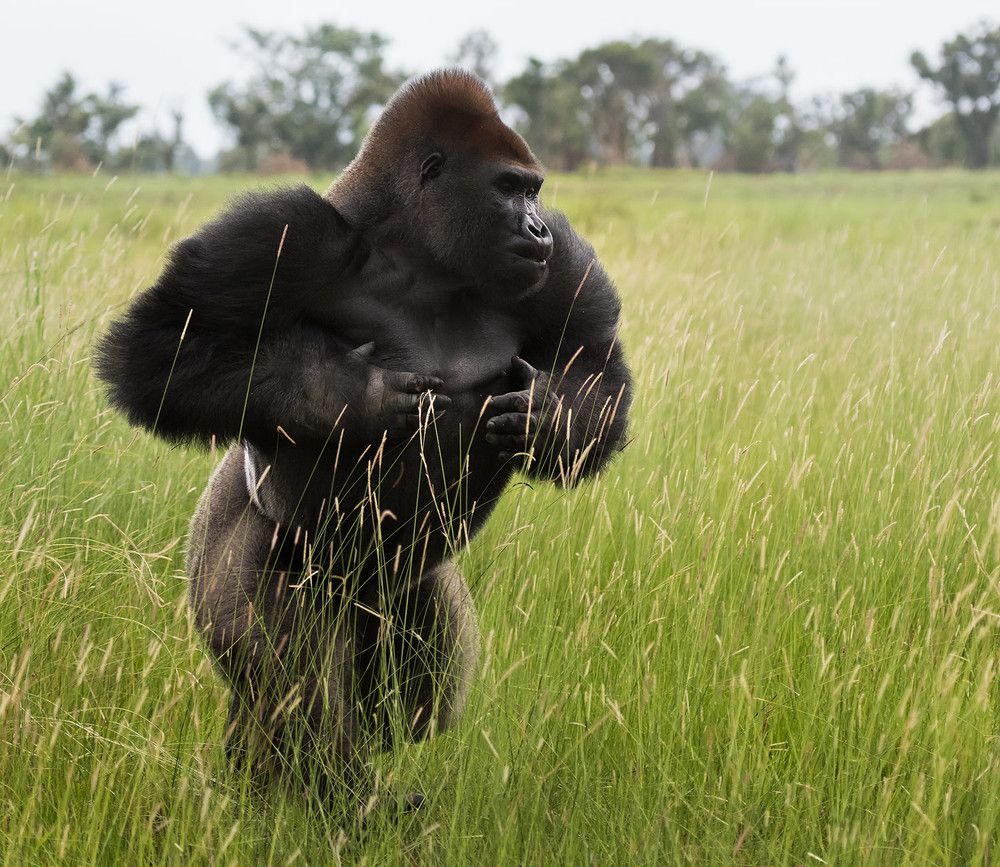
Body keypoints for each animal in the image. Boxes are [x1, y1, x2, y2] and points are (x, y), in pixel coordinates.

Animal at [95, 69, 633, 812]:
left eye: (533, 191)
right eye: (507, 188)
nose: (535, 226)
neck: (420, 256)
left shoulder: (563, 266)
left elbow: (597, 367)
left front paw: (549, 415)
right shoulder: (282, 236)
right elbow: (157, 350)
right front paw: (343, 393)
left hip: (395, 591)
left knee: (411, 702)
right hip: (232, 555)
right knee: (293, 689)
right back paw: (332, 797)